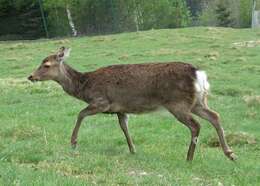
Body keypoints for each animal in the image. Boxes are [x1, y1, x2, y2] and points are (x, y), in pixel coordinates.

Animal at [27, 46, 236, 161]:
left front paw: (73, 142)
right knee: (215, 116)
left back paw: (189, 157)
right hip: (198, 101)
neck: (84, 87)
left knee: (196, 125)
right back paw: (230, 153)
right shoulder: (120, 109)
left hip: (178, 104)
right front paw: (133, 149)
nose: (31, 76)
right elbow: (124, 128)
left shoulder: (102, 102)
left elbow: (80, 114)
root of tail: (198, 74)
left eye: (46, 65)